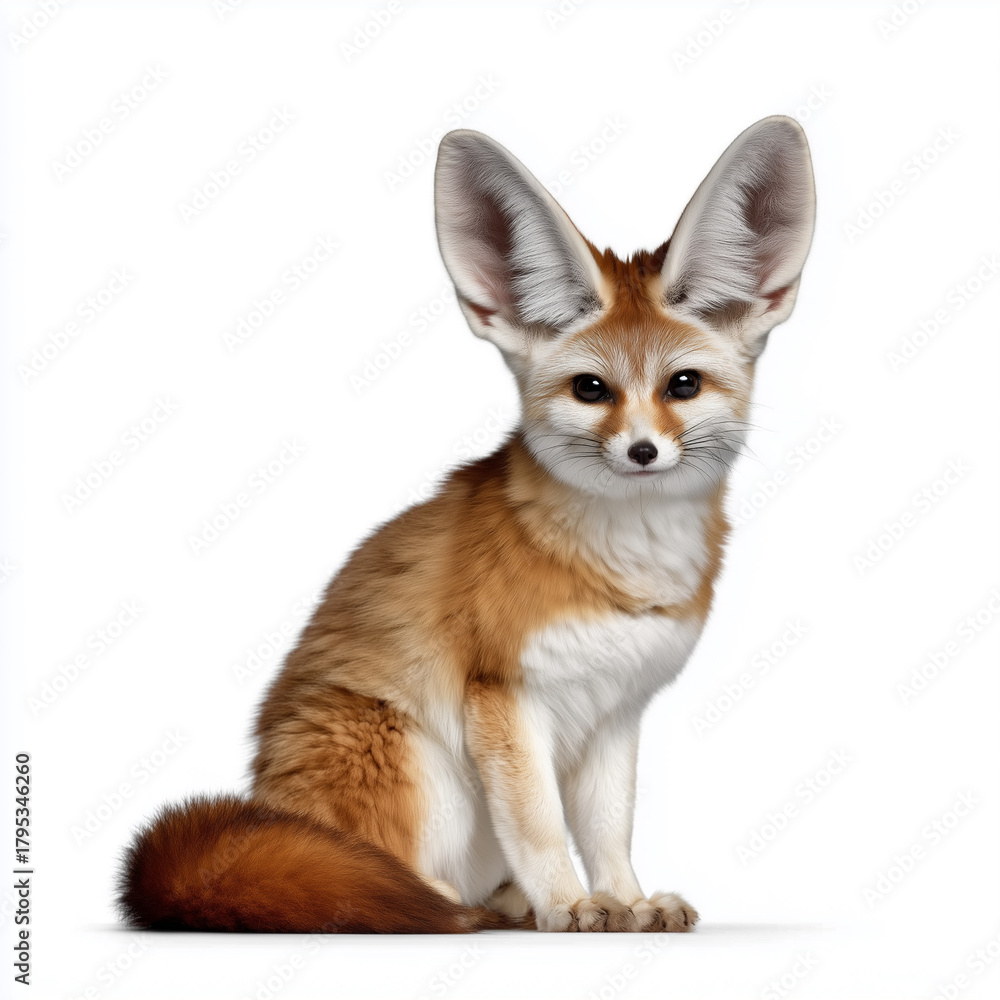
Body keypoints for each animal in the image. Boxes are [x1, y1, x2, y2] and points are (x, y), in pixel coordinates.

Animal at [118, 117, 815, 934]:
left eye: (683, 385)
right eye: (591, 389)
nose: (642, 451)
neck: (623, 572)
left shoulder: (617, 711)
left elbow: (608, 829)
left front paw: (628, 901)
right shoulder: (504, 696)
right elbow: (540, 825)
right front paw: (572, 906)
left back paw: (507, 905)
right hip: (411, 761)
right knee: (376, 879)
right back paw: (445, 905)